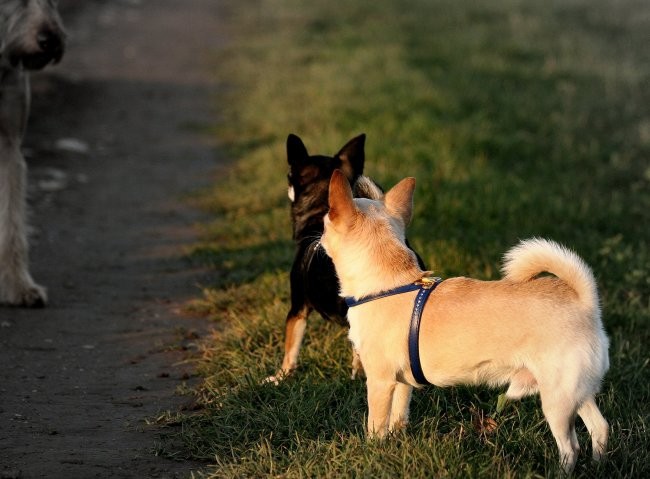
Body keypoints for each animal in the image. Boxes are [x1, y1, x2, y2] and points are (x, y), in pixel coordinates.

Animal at [322, 171, 612, 474]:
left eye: (324, 221)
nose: (317, 238)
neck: (391, 284)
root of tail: (585, 302)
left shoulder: (380, 382)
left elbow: (376, 426)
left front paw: (372, 454)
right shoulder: (402, 384)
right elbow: (398, 419)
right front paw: (393, 446)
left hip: (557, 401)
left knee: (571, 447)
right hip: (576, 393)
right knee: (600, 428)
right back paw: (599, 465)